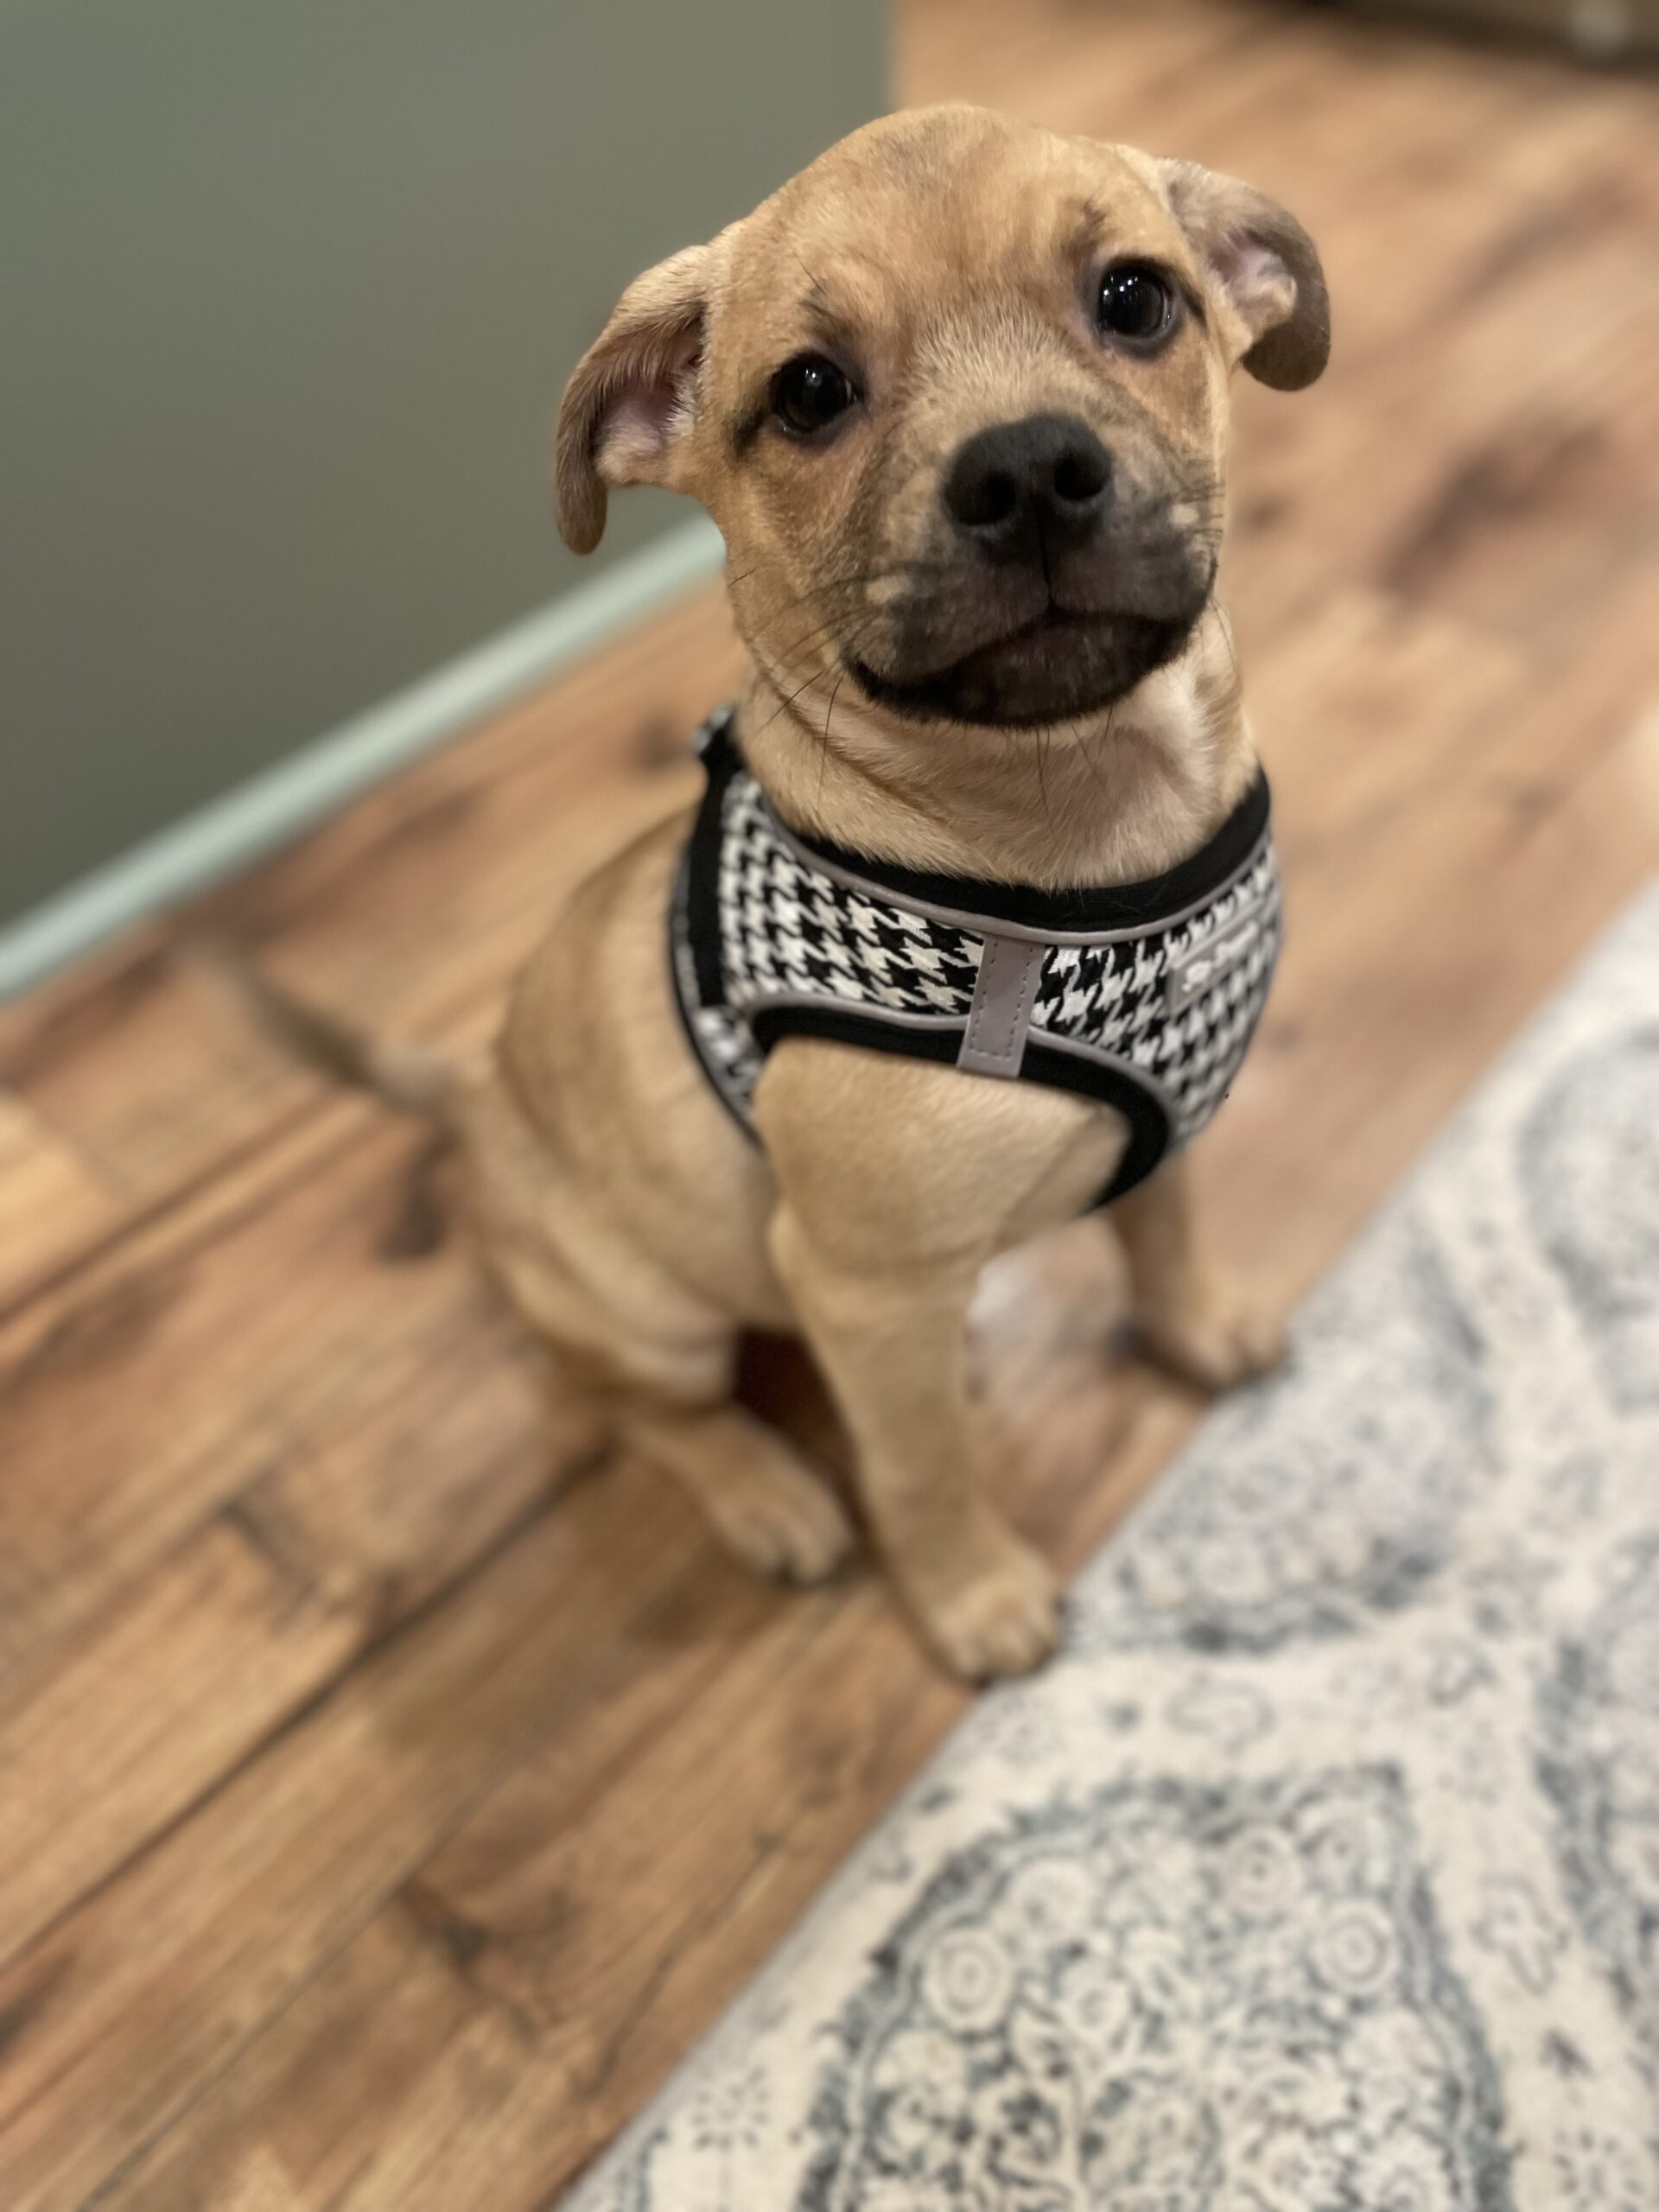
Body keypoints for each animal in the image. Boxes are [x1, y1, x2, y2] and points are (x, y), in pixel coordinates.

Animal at [242, 104, 1327, 1681]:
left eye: (1136, 299)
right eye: (812, 393)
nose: (1027, 472)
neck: (1084, 823)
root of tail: (485, 1105)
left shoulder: (1171, 1134)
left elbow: (1167, 1236)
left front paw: (1202, 1330)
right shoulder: (870, 1291)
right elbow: (923, 1462)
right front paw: (970, 1596)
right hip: (647, 1310)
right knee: (642, 1410)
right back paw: (769, 1493)